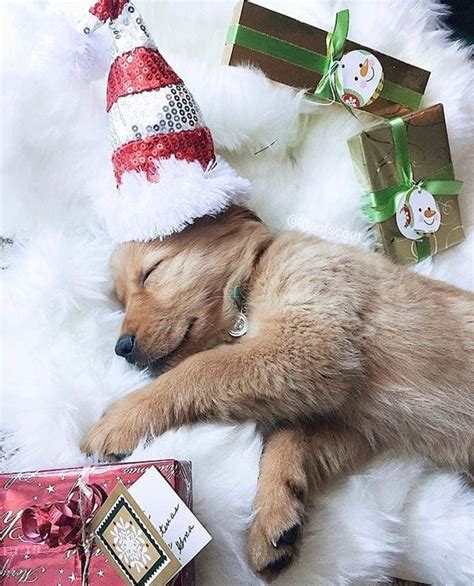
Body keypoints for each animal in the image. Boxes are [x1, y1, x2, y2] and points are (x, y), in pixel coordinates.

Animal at [81, 203, 474, 576]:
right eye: (121, 301)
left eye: (151, 272)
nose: (122, 348)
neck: (252, 280)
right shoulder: (357, 423)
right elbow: (287, 437)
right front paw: (274, 514)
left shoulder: (314, 338)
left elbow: (200, 368)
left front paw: (121, 419)